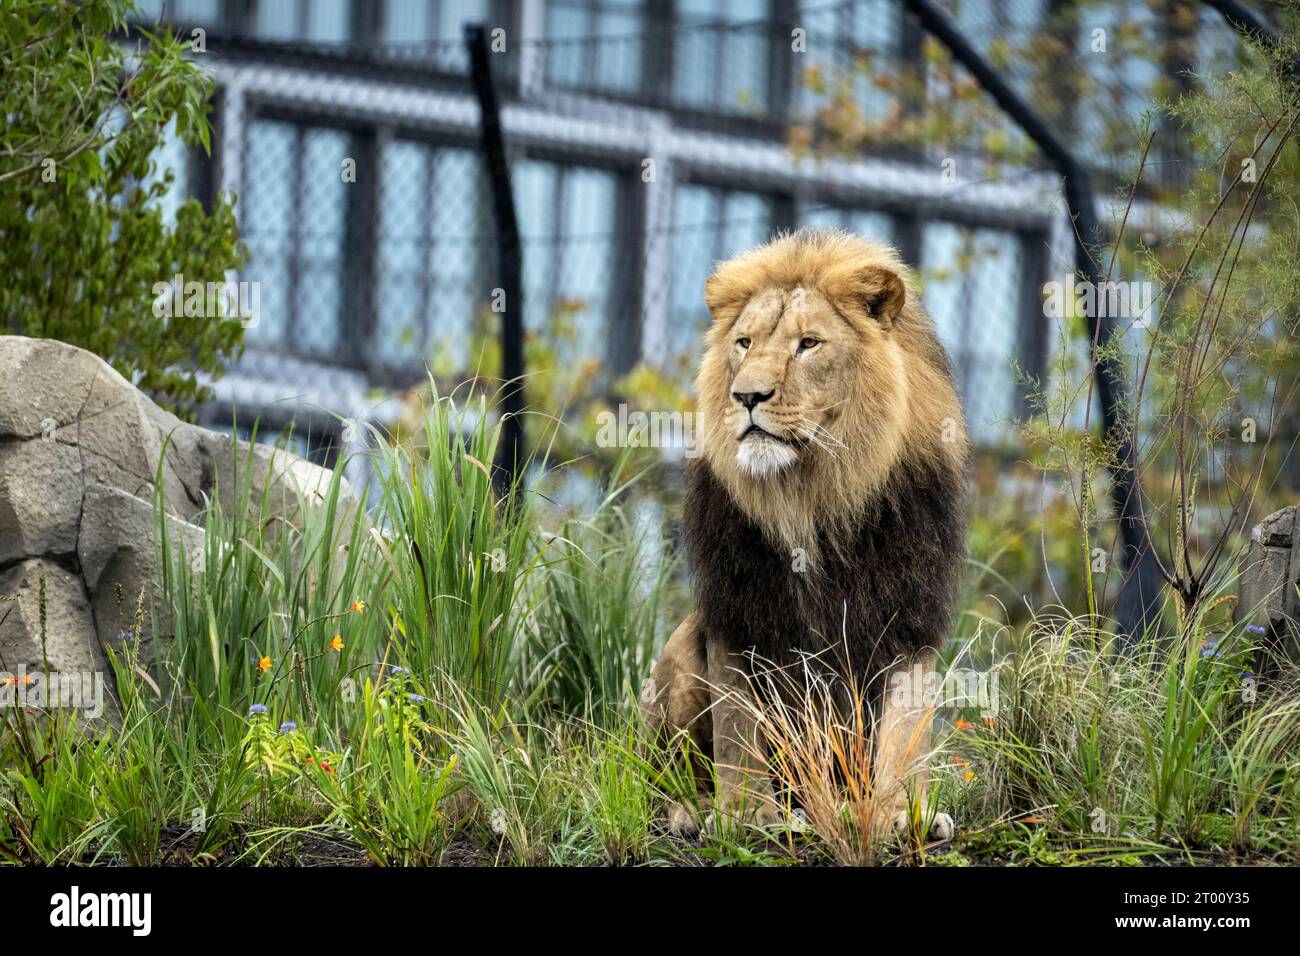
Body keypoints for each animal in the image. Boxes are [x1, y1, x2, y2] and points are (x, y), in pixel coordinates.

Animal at [639, 227, 967, 842]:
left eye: (808, 344)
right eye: (743, 343)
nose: (746, 396)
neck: (812, 495)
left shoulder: (910, 609)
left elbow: (904, 729)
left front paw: (898, 813)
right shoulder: (737, 608)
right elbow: (738, 724)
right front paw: (747, 814)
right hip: (679, 652)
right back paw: (694, 809)